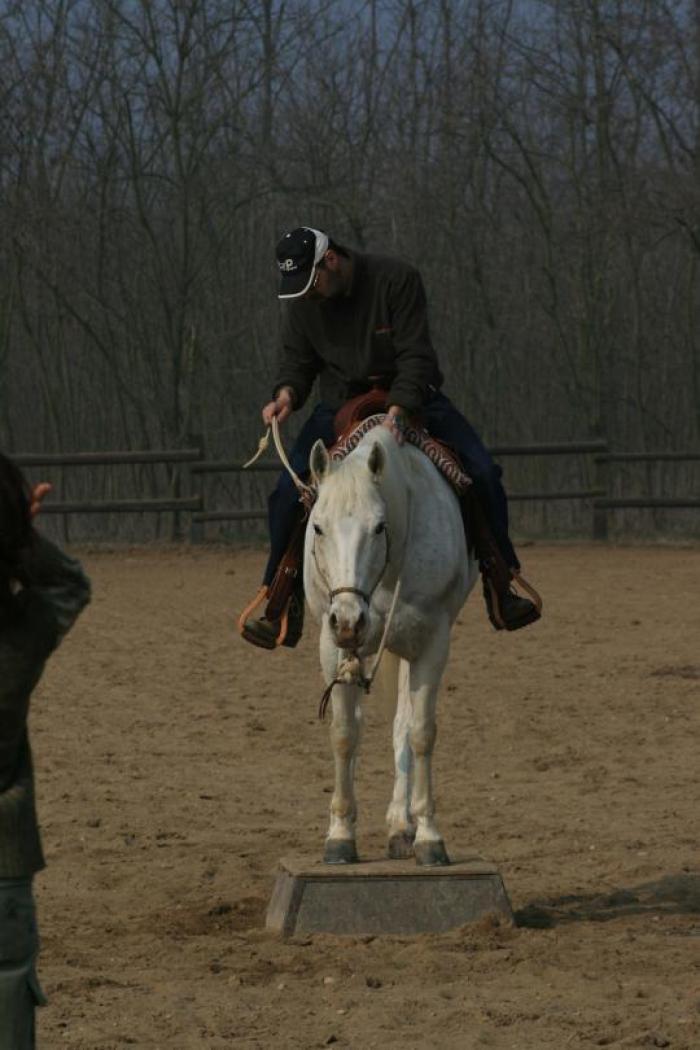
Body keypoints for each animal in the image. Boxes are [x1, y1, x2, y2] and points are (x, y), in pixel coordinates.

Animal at [305, 423, 479, 866]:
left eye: (379, 526)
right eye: (318, 527)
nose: (349, 620)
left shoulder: (432, 642)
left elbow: (420, 732)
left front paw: (429, 837)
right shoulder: (332, 647)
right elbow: (344, 733)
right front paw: (339, 835)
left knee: (402, 725)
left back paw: (402, 827)